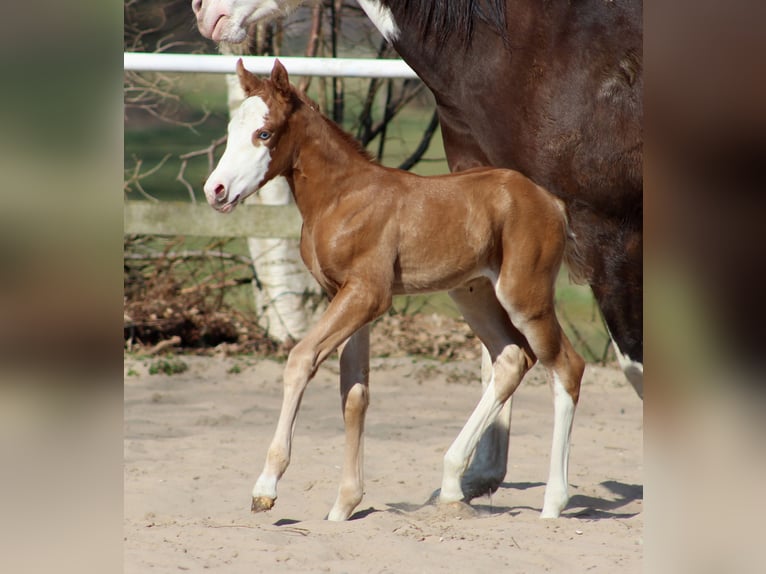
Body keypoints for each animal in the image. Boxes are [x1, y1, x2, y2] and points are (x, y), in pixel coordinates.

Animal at [192, 0, 640, 504]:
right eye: (233, 129)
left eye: (265, 135)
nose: (215, 190)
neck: (344, 195)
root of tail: (550, 202)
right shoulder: (344, 295)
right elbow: (354, 390)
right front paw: (344, 504)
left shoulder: (368, 294)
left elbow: (300, 360)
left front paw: (267, 486)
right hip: (472, 293)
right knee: (511, 359)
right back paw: (455, 483)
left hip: (525, 295)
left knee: (566, 366)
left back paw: (553, 501)